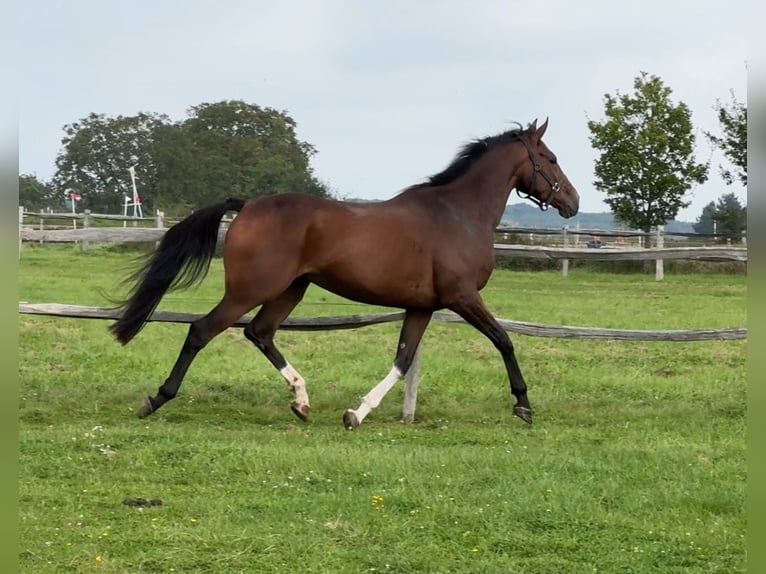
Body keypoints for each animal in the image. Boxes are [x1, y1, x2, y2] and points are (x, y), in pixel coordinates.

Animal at [109, 119, 584, 430]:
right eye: (551, 158)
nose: (574, 202)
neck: (457, 214)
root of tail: (246, 205)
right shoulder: (461, 297)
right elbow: (504, 340)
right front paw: (523, 405)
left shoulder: (421, 307)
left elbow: (403, 360)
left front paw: (355, 414)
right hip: (251, 289)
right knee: (202, 330)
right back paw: (156, 399)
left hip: (290, 290)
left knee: (259, 333)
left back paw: (301, 402)